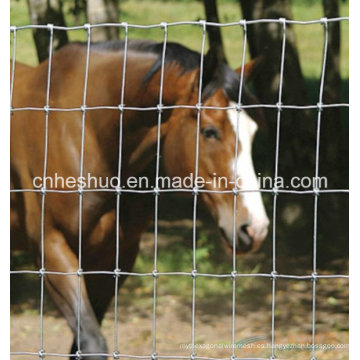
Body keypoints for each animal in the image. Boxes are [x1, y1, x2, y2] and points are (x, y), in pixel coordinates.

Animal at [10, 38, 270, 358]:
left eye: (253, 132)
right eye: (210, 131)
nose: (255, 228)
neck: (85, 132)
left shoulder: (115, 256)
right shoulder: (52, 248)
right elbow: (92, 343)